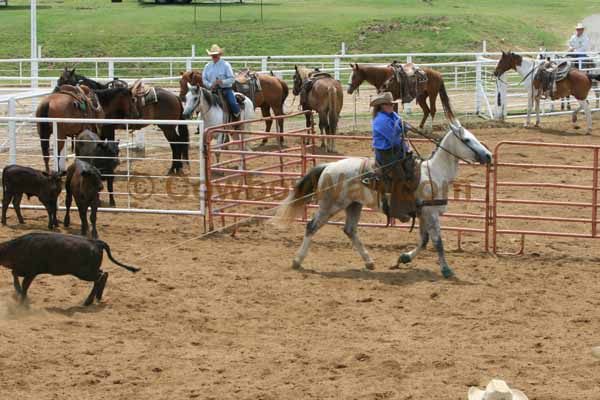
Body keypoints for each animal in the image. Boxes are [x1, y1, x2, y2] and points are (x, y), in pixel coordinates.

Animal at [278, 120, 492, 280]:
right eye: (467, 139)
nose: (488, 155)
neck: (435, 173)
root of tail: (328, 166)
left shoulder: (424, 213)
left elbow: (424, 241)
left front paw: (404, 258)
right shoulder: (431, 214)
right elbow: (438, 242)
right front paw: (446, 270)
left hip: (353, 205)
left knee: (350, 230)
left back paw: (369, 261)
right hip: (330, 205)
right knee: (311, 227)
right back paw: (297, 260)